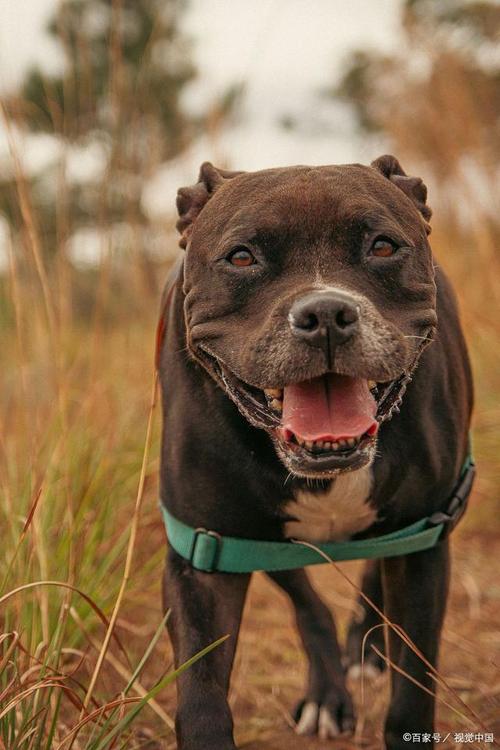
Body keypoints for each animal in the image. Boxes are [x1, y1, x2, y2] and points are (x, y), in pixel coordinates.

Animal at [158, 156, 474, 748]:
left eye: (382, 246)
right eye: (241, 257)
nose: (326, 312)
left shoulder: (425, 541)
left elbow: (413, 692)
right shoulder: (208, 554)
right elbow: (200, 699)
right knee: (307, 600)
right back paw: (328, 692)